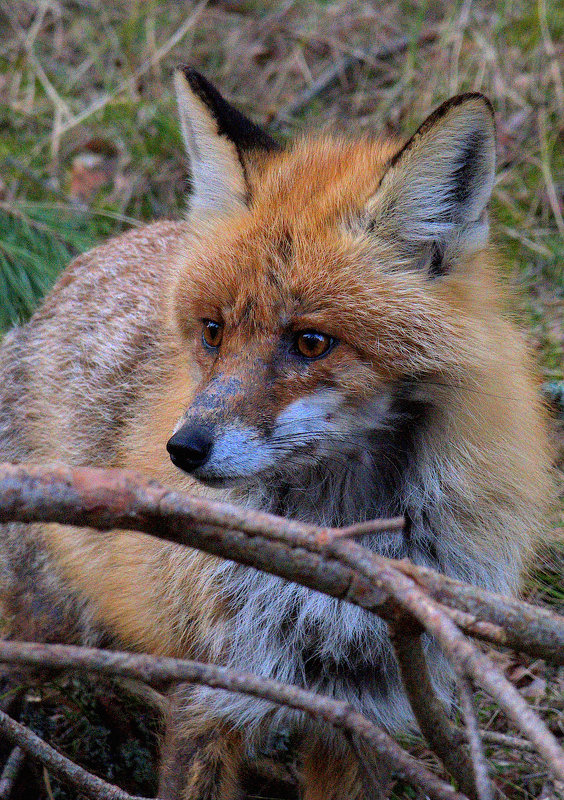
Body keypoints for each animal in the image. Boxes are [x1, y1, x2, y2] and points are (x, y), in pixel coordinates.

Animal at [0, 70, 552, 800]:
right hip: (40, 618)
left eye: (310, 342)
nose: (183, 449)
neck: (339, 534)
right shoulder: (212, 686)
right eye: (212, 331)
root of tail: (73, 273)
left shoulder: (365, 707)